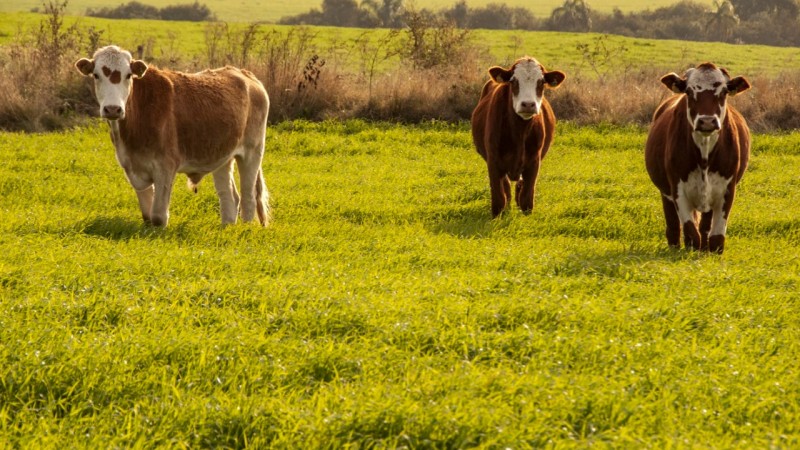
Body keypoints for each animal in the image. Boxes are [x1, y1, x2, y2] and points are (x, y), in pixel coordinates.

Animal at [76, 45, 268, 227]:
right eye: (96, 75)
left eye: (128, 75)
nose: (113, 109)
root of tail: (245, 74)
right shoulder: (132, 167)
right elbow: (147, 216)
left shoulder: (165, 166)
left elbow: (158, 216)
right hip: (222, 155)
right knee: (229, 196)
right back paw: (226, 228)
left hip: (252, 152)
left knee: (248, 198)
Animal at [472, 55, 564, 217]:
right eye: (514, 81)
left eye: (541, 82)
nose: (528, 104)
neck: (519, 132)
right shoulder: (493, 160)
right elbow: (498, 198)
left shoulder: (534, 161)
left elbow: (527, 199)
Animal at [644, 62, 752, 253]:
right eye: (689, 91)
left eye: (724, 92)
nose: (707, 121)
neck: (704, 156)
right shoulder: (677, 189)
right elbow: (690, 232)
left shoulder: (727, 189)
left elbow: (716, 238)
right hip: (666, 193)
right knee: (673, 226)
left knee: (704, 226)